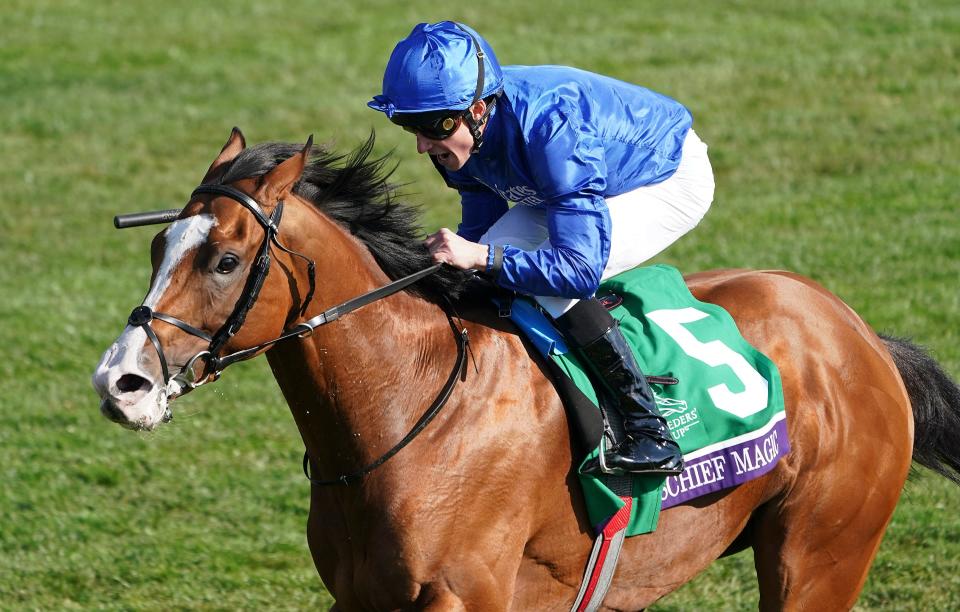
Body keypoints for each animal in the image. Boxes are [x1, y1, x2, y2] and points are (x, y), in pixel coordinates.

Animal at [94, 128, 960, 608]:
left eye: (224, 259)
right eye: (158, 245)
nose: (120, 383)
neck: (405, 415)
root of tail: (859, 333)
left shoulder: (466, 595)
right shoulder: (361, 597)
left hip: (820, 555)